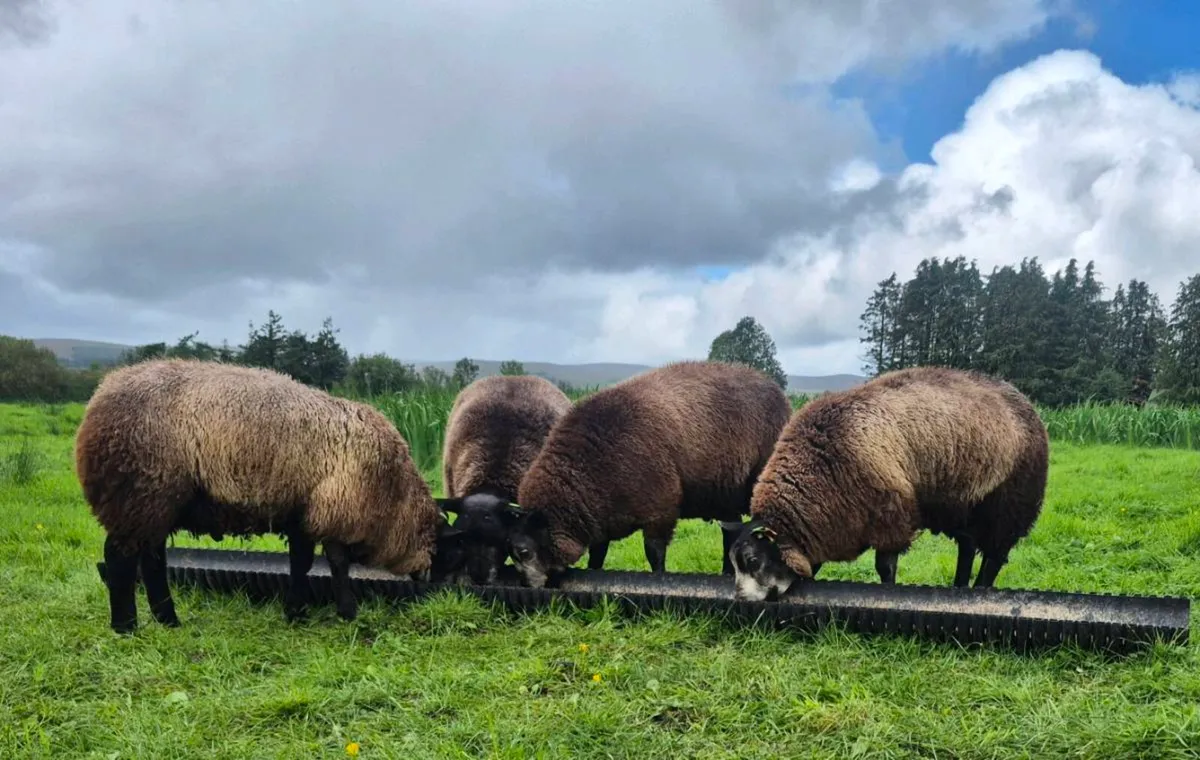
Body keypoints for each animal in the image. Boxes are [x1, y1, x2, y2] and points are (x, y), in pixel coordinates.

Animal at [75, 358, 465, 634]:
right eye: (445, 550)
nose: (435, 588)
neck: (393, 495)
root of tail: (99, 398)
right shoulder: (335, 508)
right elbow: (336, 564)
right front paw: (345, 611)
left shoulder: (303, 513)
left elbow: (302, 563)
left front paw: (297, 612)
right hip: (140, 492)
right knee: (120, 557)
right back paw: (126, 626)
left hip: (155, 502)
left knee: (152, 560)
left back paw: (168, 619)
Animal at [504, 360, 793, 588]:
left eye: (524, 551)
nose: (527, 586)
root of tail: (779, 392)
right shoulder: (599, 517)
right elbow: (597, 554)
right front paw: (594, 574)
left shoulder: (660, 510)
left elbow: (654, 554)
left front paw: (660, 580)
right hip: (723, 496)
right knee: (730, 533)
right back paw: (725, 573)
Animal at [729, 365, 1049, 601]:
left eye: (752, 560)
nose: (741, 600)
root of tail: (1025, 402)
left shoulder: (889, 517)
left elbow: (885, 567)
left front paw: (888, 593)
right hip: (965, 505)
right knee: (968, 548)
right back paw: (958, 588)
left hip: (1010, 506)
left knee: (994, 557)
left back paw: (979, 592)